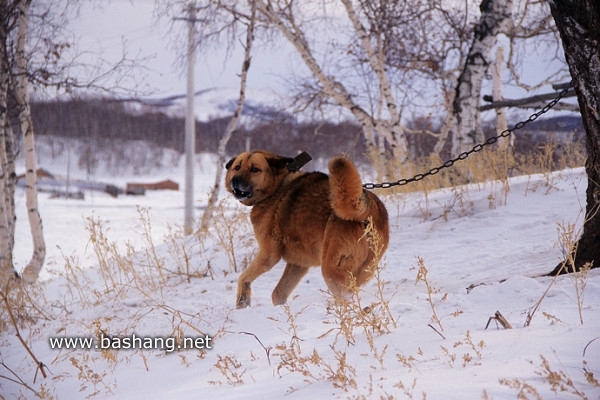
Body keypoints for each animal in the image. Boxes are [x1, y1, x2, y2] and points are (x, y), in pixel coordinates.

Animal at [225, 150, 390, 310]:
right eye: (237, 167)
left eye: (255, 169)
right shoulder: (299, 264)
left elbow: (244, 277)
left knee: (346, 300)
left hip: (331, 270)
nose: (235, 180)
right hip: (360, 270)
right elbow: (278, 293)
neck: (277, 187)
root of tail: (368, 207)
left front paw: (242, 301)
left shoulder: (268, 255)